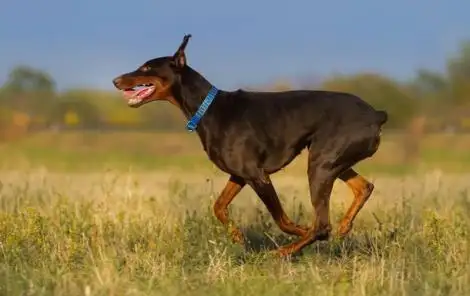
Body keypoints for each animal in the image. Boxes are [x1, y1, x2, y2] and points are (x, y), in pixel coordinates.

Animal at [112, 34, 388, 256]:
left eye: (147, 67)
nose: (115, 80)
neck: (208, 108)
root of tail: (376, 115)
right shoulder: (239, 175)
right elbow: (219, 206)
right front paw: (237, 237)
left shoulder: (258, 176)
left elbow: (282, 220)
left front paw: (298, 230)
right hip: (331, 161)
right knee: (364, 187)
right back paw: (344, 227)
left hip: (320, 164)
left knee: (321, 225)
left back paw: (284, 252)